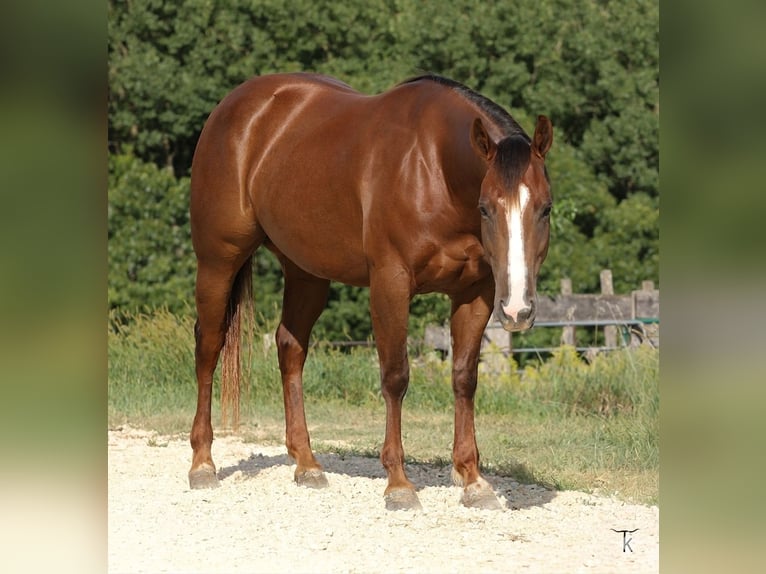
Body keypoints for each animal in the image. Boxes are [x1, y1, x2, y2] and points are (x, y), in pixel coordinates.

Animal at [188, 72, 553, 510]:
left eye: (546, 208)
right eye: (486, 208)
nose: (517, 311)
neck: (433, 168)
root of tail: (233, 107)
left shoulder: (475, 292)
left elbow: (465, 378)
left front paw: (473, 479)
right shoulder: (390, 282)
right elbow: (395, 376)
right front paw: (398, 484)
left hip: (306, 272)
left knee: (290, 348)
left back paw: (307, 464)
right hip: (218, 261)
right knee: (209, 346)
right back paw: (202, 464)